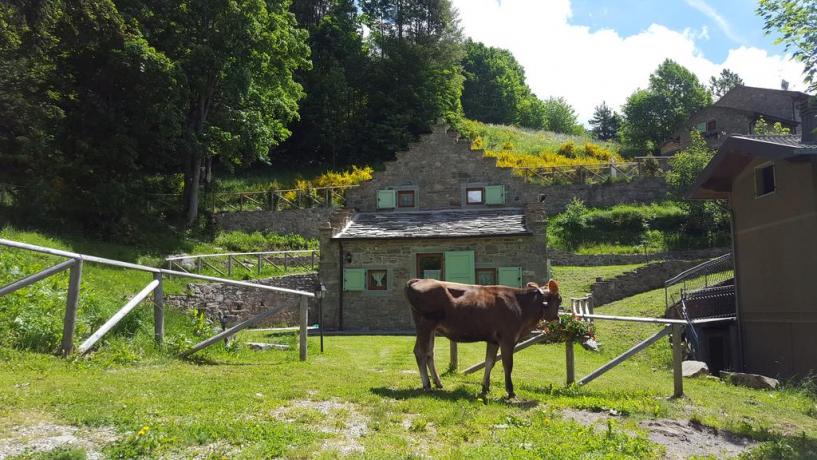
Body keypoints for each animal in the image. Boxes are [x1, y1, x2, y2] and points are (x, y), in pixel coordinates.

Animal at [404, 276, 560, 398]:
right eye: (559, 300)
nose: (558, 320)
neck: (521, 306)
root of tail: (419, 280)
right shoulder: (508, 339)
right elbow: (507, 365)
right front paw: (510, 392)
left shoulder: (493, 340)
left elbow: (489, 362)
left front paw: (485, 388)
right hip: (425, 324)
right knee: (420, 352)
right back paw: (427, 385)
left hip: (431, 328)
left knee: (429, 353)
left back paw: (438, 383)